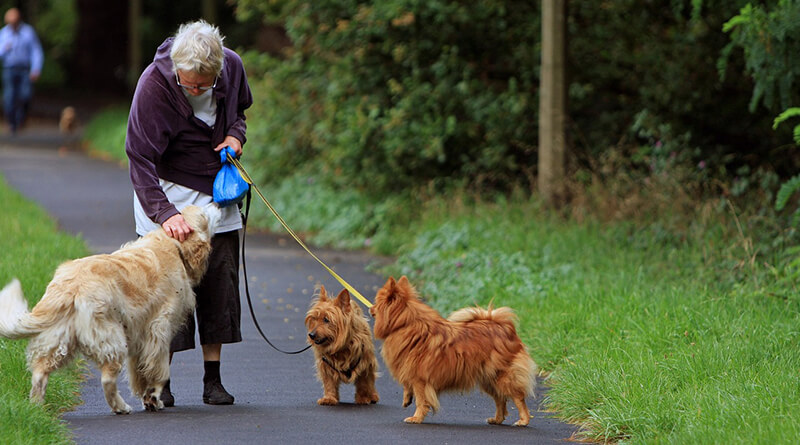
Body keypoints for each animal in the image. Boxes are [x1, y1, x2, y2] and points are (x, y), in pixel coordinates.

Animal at [0, 204, 220, 412]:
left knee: (39, 374)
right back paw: (121, 407)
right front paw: (154, 398)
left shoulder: (140, 335)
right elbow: (159, 369)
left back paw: (36, 409)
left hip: (58, 341)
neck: (171, 243)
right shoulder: (159, 329)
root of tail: (70, 286)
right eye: (204, 213)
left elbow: (139, 372)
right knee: (107, 380)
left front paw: (147, 397)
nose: (217, 203)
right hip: (112, 339)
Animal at [368, 276, 536, 424]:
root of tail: (506, 328)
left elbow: (421, 401)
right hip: (489, 379)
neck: (405, 324)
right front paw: (406, 399)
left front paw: (416, 418)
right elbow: (408, 388)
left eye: (376, 303)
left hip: (503, 376)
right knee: (500, 399)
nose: (370, 308)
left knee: (518, 397)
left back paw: (523, 420)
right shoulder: (410, 370)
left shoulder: (420, 379)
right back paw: (497, 419)